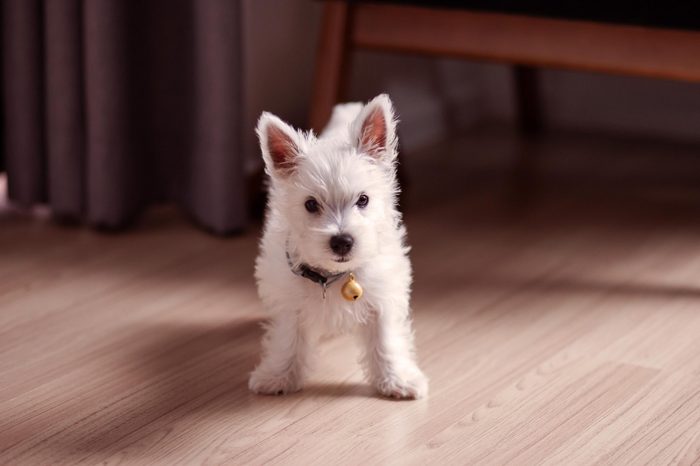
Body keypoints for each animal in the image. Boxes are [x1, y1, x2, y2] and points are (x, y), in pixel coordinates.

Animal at [250, 95, 426, 400]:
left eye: (363, 199)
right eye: (310, 204)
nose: (342, 241)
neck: (331, 278)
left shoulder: (382, 295)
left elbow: (386, 339)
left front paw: (397, 379)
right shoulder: (289, 302)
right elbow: (288, 339)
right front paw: (278, 376)